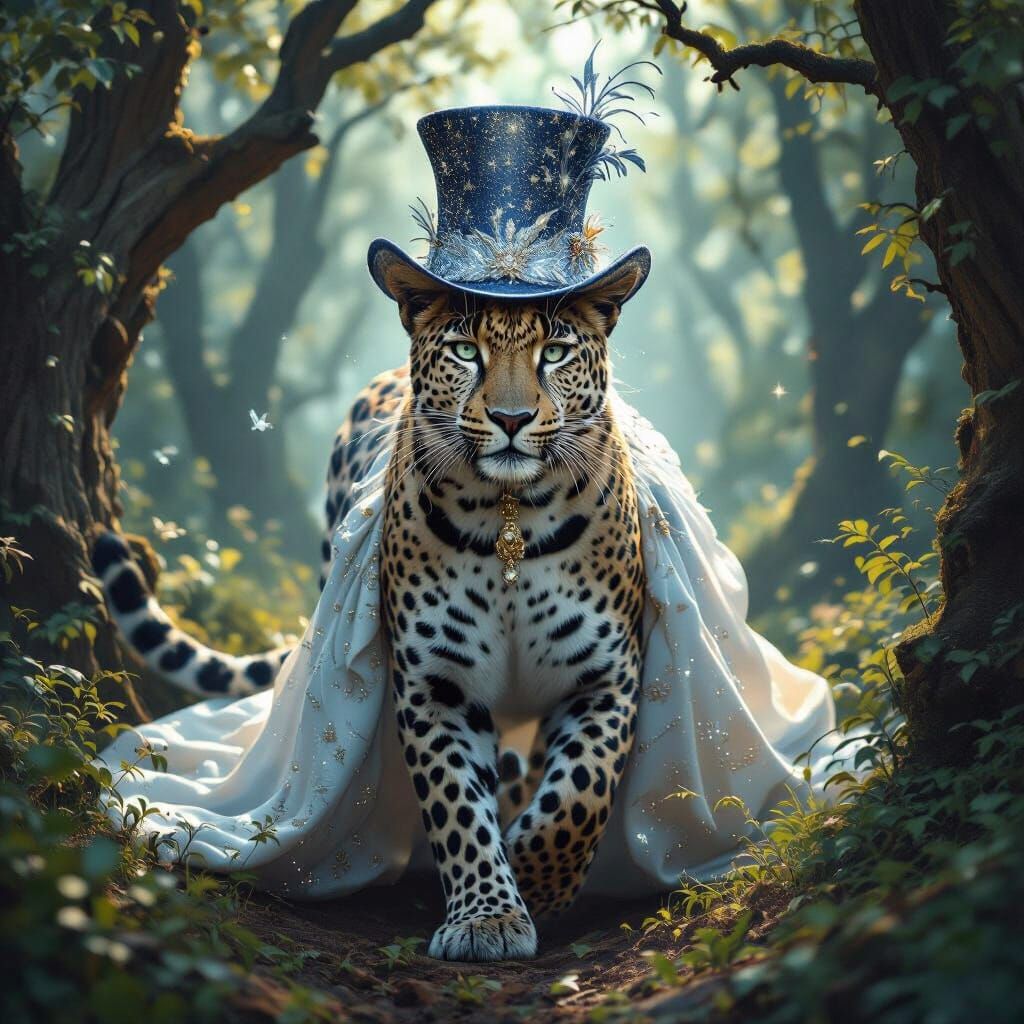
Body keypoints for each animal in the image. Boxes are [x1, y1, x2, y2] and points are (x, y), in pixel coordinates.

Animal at [91, 257, 647, 962]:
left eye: (554, 352)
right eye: (466, 350)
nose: (512, 418)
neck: (510, 517)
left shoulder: (605, 678)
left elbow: (579, 799)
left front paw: (533, 882)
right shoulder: (437, 684)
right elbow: (459, 806)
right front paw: (487, 916)